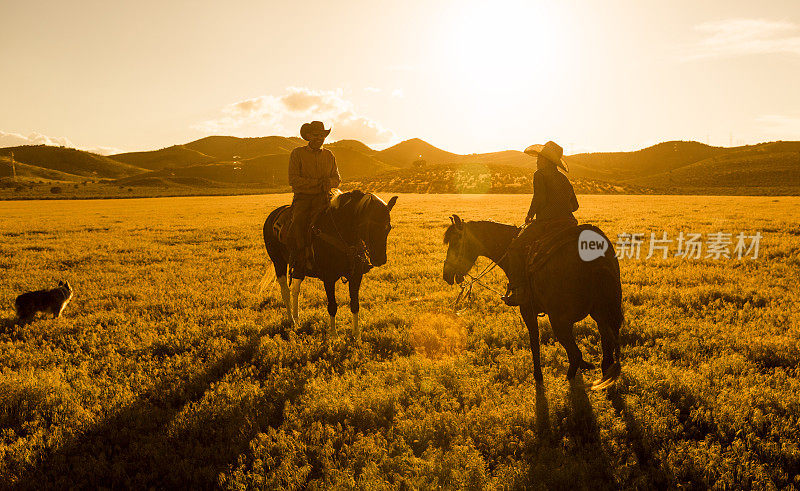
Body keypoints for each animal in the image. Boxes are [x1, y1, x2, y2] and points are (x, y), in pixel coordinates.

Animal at [264, 190, 398, 340]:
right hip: (278, 262)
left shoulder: (356, 276)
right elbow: (332, 306)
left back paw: (297, 320)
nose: (380, 259)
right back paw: (291, 320)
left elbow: (355, 304)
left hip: (299, 267)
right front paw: (334, 336)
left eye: (388, 228)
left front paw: (356, 334)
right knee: (285, 291)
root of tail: (273, 215)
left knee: (295, 290)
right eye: (367, 227)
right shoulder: (328, 278)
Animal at [440, 214, 620, 388]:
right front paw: (585, 366)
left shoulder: (527, 310)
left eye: (455, 243)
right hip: (601, 315)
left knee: (576, 353)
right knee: (606, 349)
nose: (446, 275)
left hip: (559, 320)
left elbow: (534, 342)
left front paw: (538, 376)